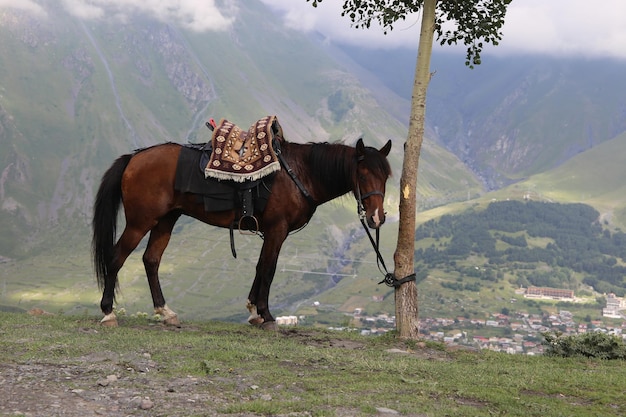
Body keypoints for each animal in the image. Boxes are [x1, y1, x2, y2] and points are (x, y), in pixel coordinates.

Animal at [91, 135, 390, 326]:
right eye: (362, 175)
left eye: (386, 176)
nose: (376, 218)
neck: (298, 173)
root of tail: (134, 158)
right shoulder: (277, 230)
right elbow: (268, 269)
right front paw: (266, 315)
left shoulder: (270, 232)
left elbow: (260, 267)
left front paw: (253, 311)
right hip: (140, 222)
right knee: (116, 258)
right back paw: (108, 313)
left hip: (166, 220)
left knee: (151, 260)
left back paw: (166, 313)